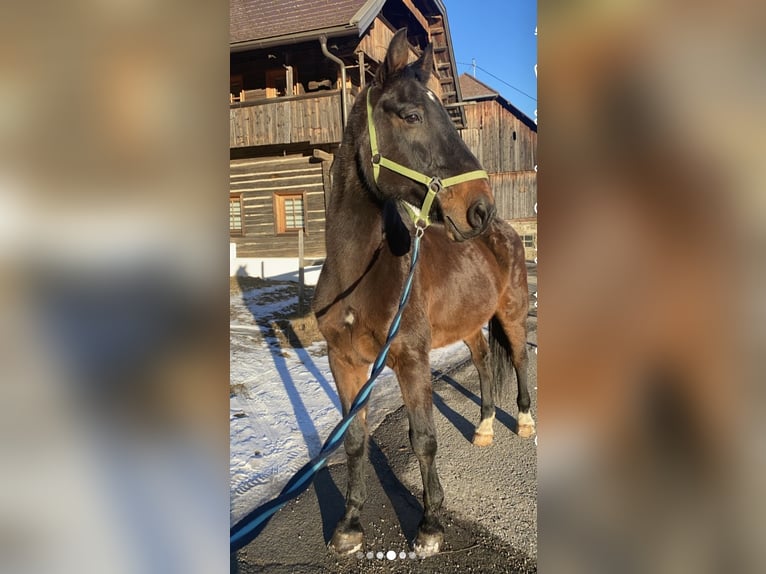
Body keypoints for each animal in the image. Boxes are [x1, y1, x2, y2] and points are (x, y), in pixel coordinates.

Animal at [312, 28, 535, 557]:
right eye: (412, 116)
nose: (478, 208)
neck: (359, 275)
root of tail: (506, 232)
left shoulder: (411, 359)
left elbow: (423, 439)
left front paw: (430, 524)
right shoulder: (344, 362)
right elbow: (355, 440)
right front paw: (349, 525)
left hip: (512, 314)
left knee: (518, 359)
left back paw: (524, 421)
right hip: (472, 324)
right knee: (483, 364)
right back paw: (484, 427)